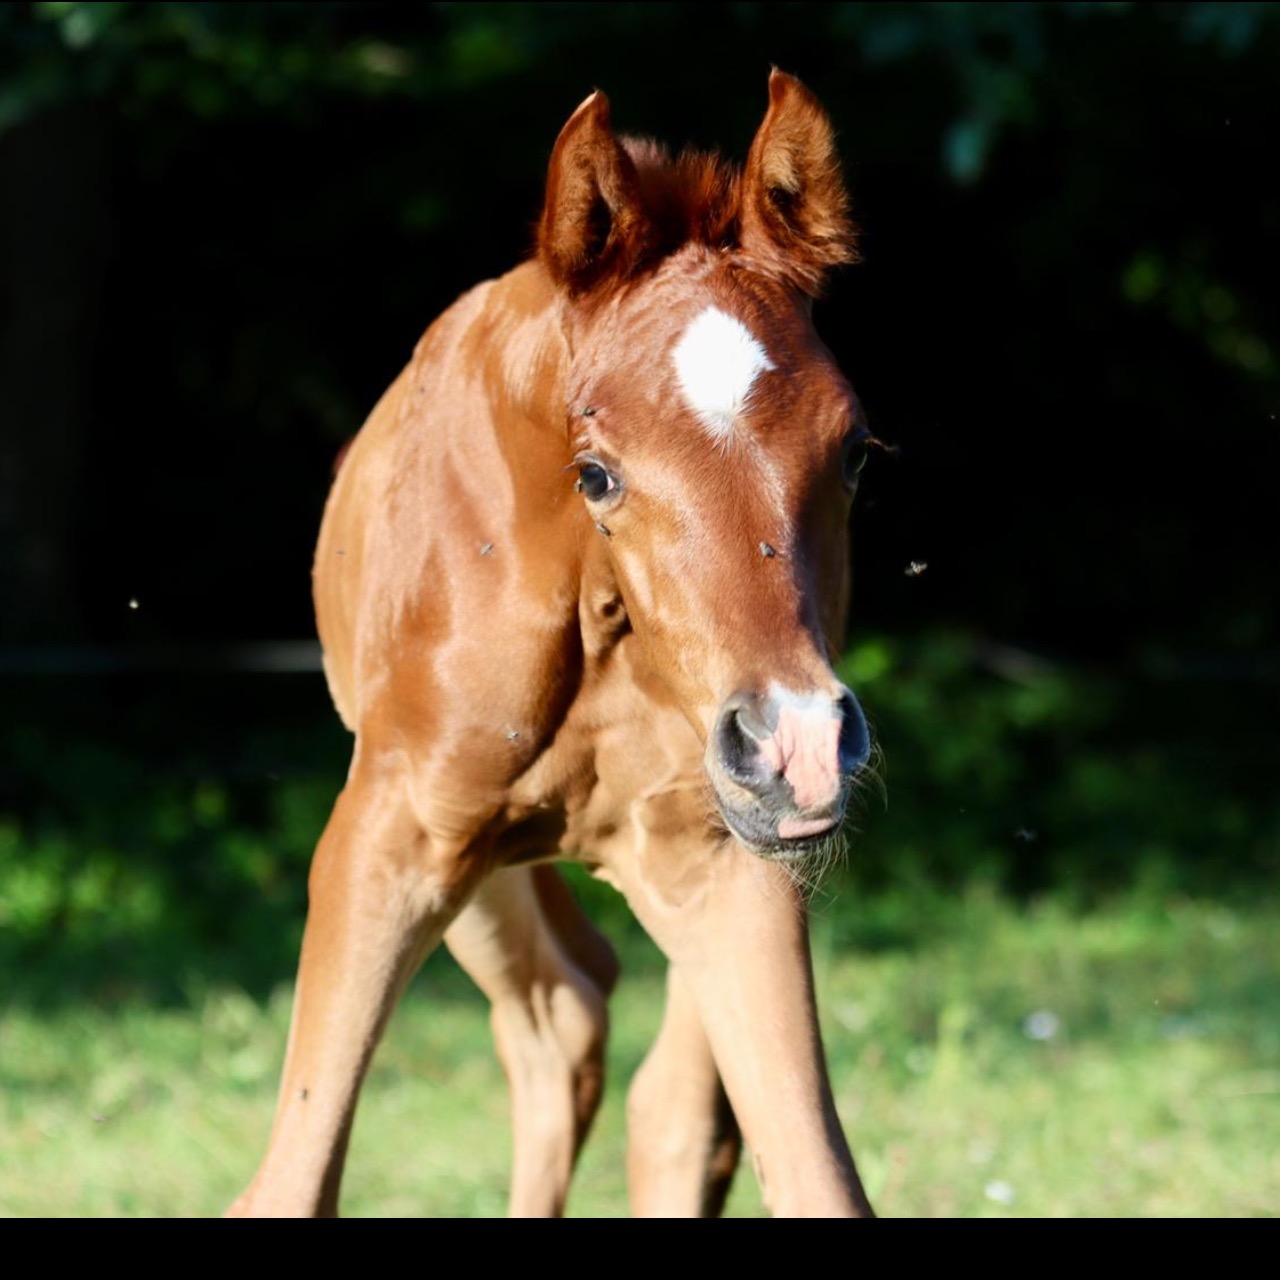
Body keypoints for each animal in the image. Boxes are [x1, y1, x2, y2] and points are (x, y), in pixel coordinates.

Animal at [227, 70, 880, 1218]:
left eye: (851, 451)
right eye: (596, 472)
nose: (796, 745)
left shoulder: (728, 864)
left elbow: (805, 1171)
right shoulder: (388, 835)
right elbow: (290, 1178)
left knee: (653, 1089)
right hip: (472, 862)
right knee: (559, 1013)